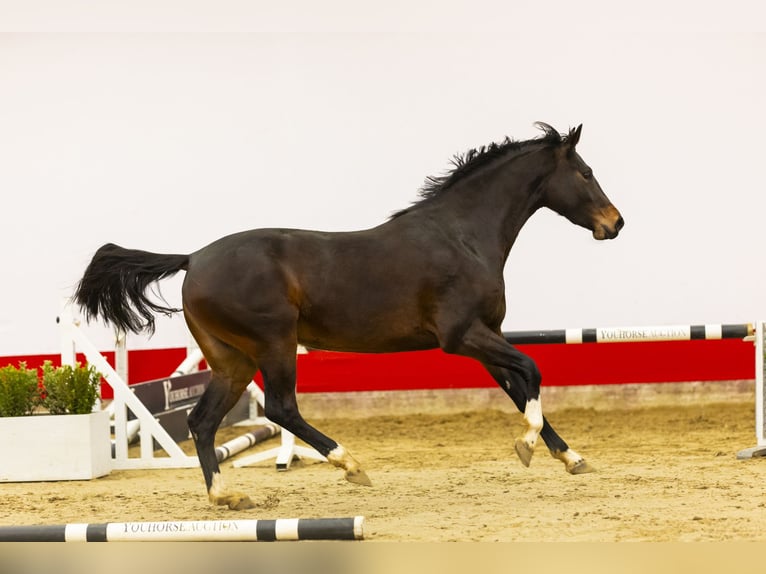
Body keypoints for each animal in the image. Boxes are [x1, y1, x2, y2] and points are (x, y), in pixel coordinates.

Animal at [73, 124, 624, 510]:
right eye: (586, 173)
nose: (615, 223)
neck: (461, 237)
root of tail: (192, 259)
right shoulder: (463, 335)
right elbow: (532, 370)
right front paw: (528, 446)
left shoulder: (488, 337)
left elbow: (520, 387)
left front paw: (570, 457)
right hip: (274, 344)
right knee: (281, 409)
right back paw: (350, 465)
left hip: (233, 360)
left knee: (202, 421)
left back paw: (226, 496)